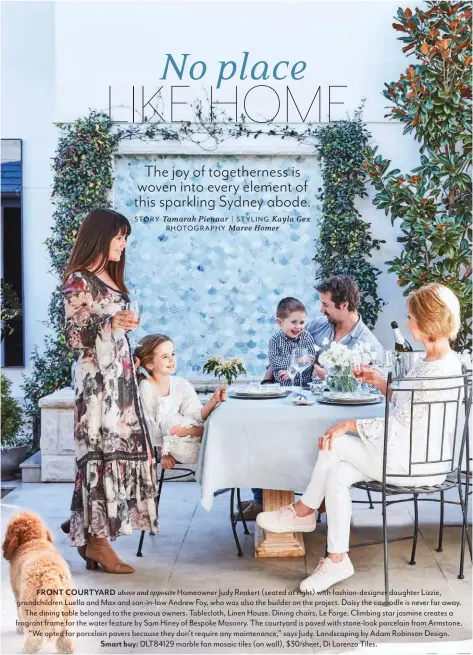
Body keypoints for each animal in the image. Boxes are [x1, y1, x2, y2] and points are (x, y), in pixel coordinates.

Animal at [2, 516, 74, 652]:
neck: (32, 540)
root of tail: (50, 573)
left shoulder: (17, 593)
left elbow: (18, 613)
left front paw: (19, 629)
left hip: (29, 605)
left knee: (34, 636)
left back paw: (28, 649)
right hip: (66, 607)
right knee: (65, 637)